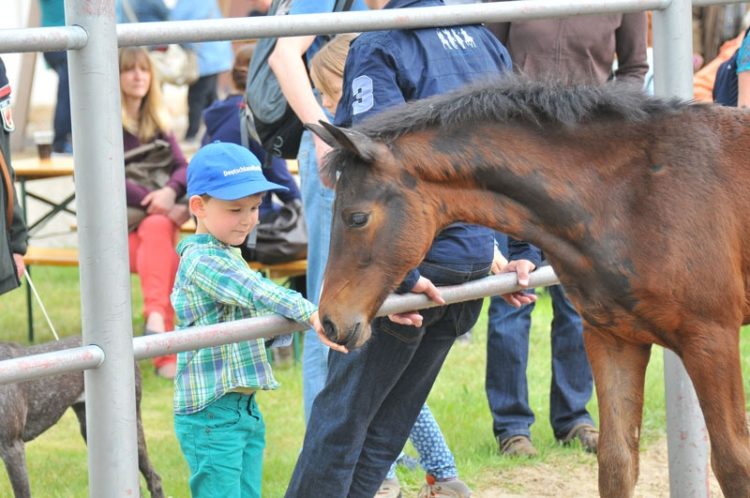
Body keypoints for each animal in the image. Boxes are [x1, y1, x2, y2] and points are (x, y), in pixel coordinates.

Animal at [306, 76, 750, 496]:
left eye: (357, 217)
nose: (329, 321)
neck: (630, 195)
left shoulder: (710, 339)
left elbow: (734, 463)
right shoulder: (614, 338)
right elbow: (617, 463)